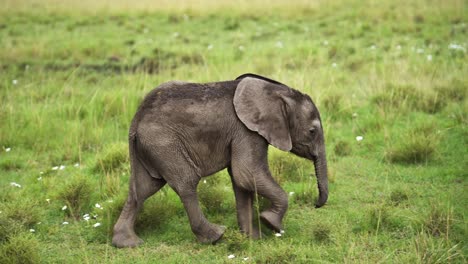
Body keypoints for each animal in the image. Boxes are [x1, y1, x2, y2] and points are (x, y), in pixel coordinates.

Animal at [111, 73, 328, 249]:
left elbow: (242, 182)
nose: (316, 205)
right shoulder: (245, 130)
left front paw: (253, 239)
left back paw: (127, 243)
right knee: (186, 182)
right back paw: (215, 236)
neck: (276, 91)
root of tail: (137, 118)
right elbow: (246, 173)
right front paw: (271, 223)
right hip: (163, 143)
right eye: (312, 131)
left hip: (151, 146)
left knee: (143, 188)